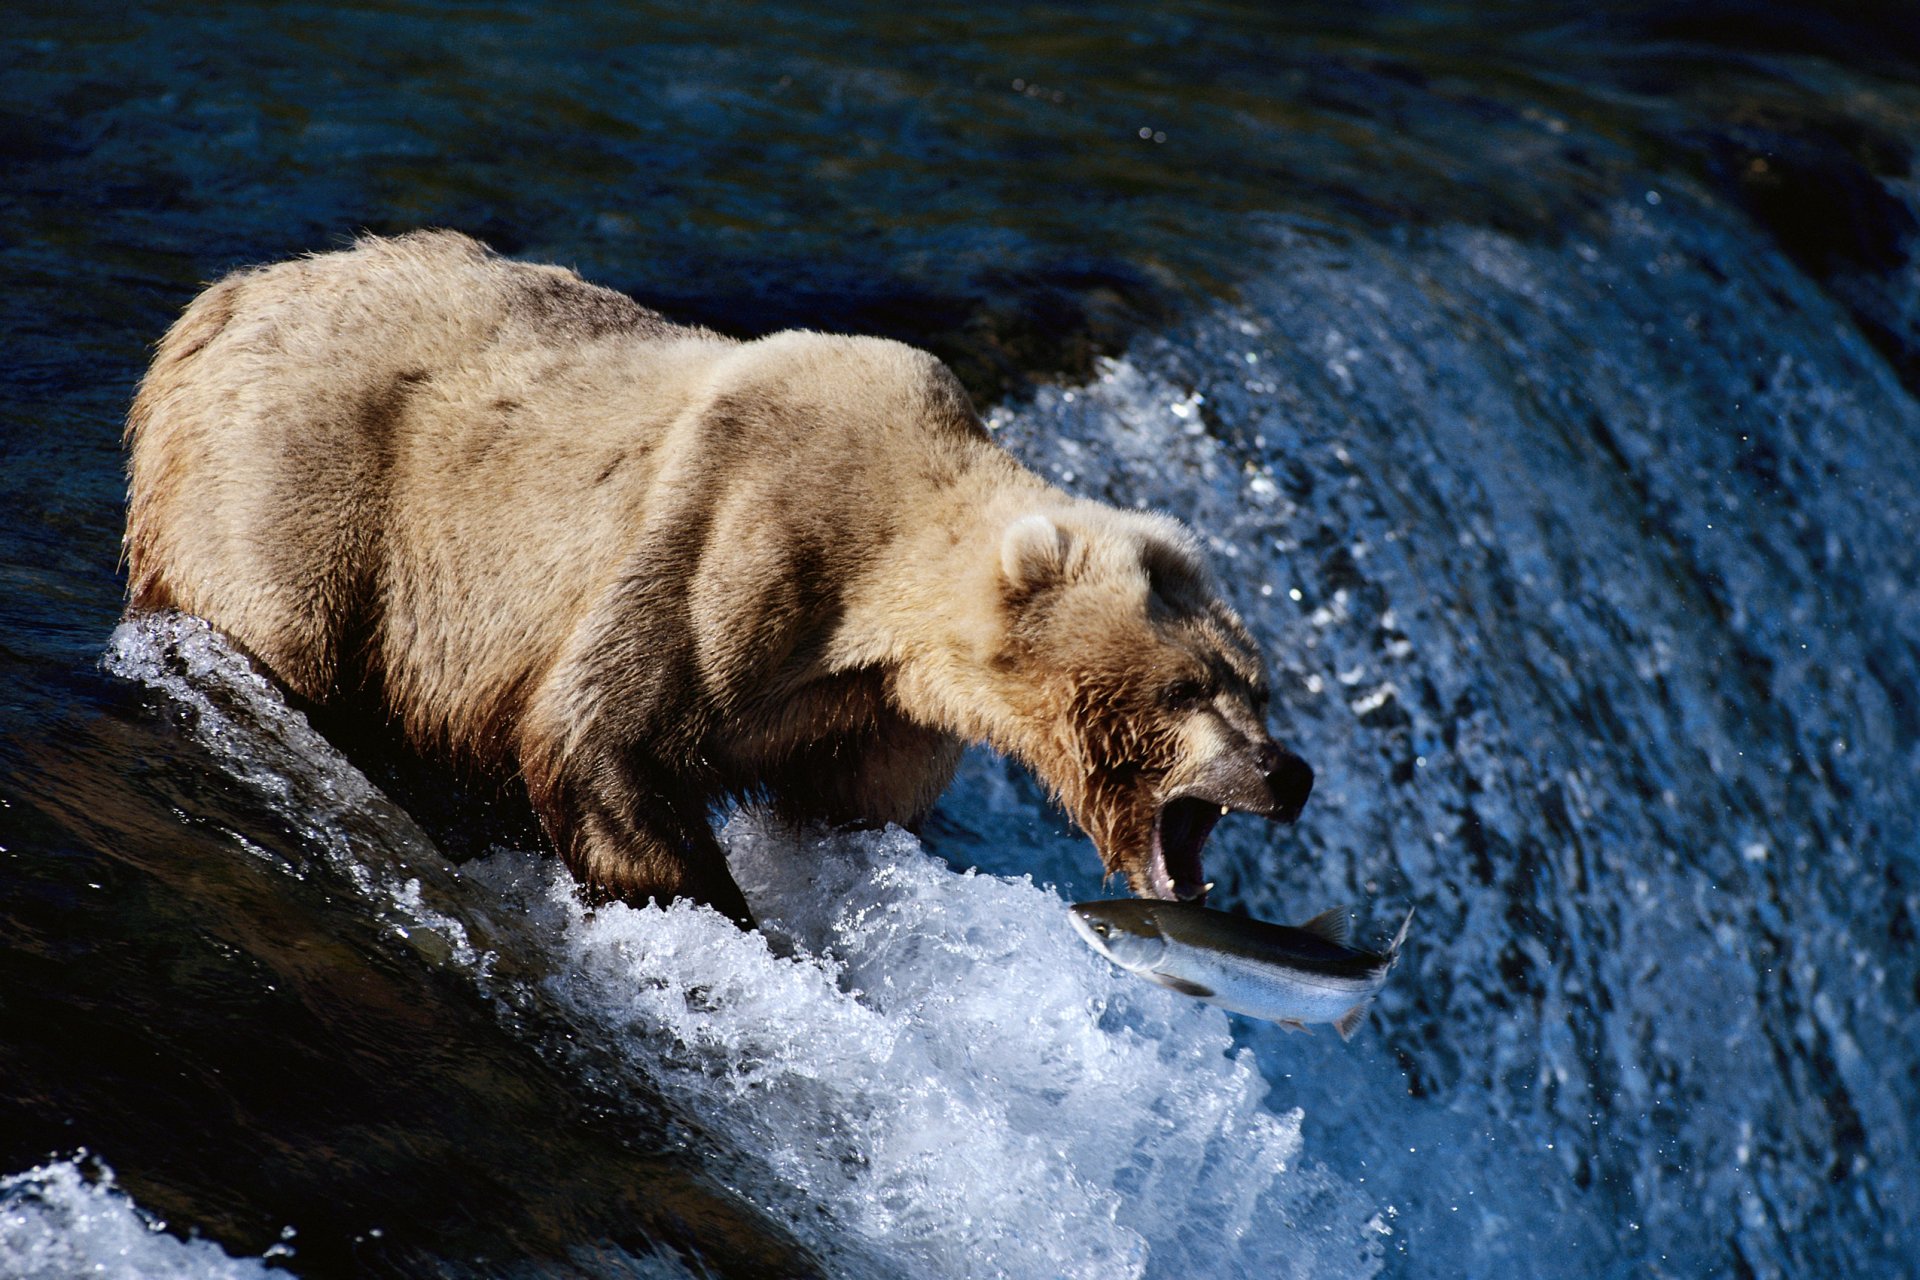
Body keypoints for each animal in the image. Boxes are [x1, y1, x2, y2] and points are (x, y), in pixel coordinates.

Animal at [123, 230, 1313, 927]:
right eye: (1187, 687)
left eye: (1257, 683)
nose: (1286, 772)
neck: (881, 604)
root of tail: (220, 298)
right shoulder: (741, 541)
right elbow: (601, 732)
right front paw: (730, 913)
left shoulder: (873, 714)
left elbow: (847, 814)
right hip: (304, 480)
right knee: (286, 633)